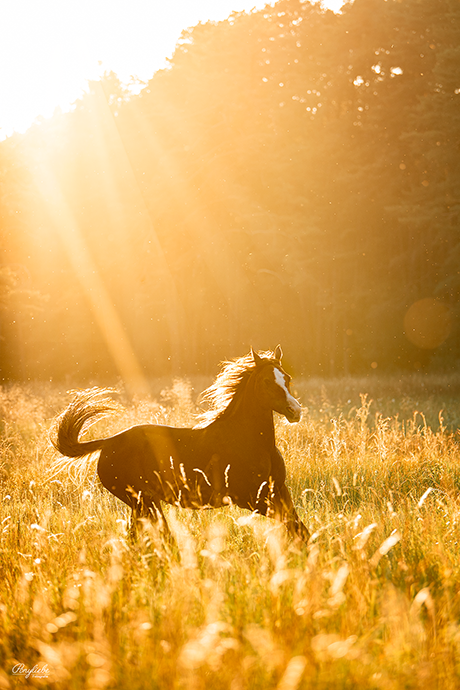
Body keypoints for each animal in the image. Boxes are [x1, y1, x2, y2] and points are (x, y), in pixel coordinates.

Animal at [51, 344, 310, 544]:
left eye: (287, 378)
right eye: (266, 381)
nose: (295, 411)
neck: (250, 441)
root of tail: (110, 442)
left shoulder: (279, 491)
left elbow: (300, 530)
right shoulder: (252, 498)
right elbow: (294, 527)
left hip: (142, 504)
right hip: (144, 502)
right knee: (154, 536)